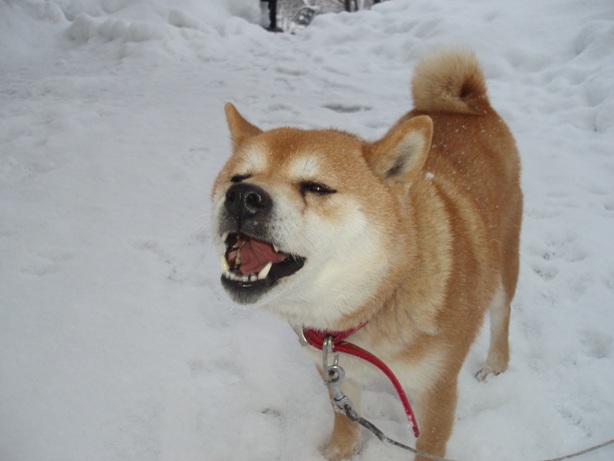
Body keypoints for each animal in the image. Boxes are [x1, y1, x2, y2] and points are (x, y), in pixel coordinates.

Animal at [212, 50, 524, 460]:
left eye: (317, 187)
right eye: (237, 178)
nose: (243, 197)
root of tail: (473, 105)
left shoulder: (437, 390)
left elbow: (429, 443)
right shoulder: (336, 376)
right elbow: (345, 426)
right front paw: (338, 452)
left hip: (506, 259)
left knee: (502, 314)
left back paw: (496, 364)